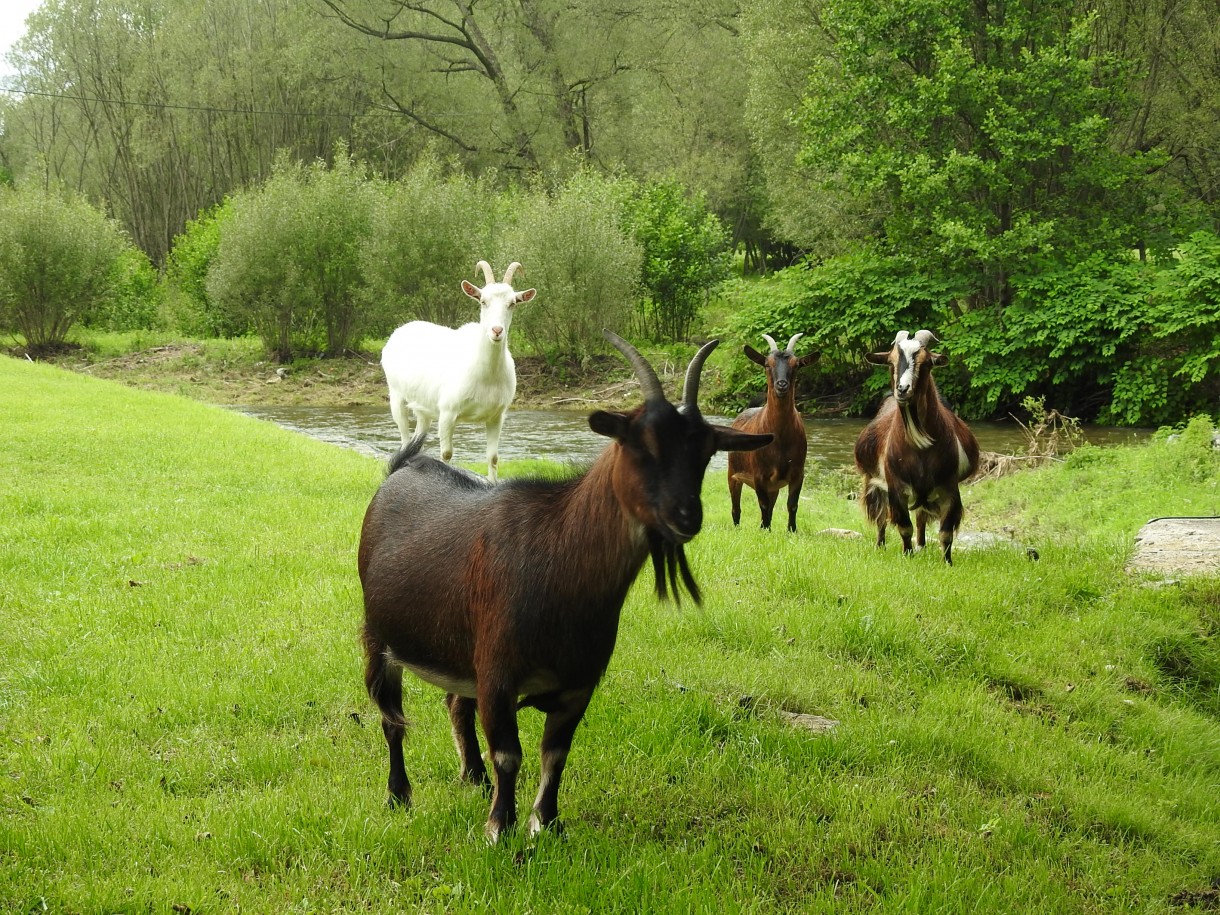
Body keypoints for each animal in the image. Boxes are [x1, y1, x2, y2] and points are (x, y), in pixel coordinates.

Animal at [356, 331, 771, 844]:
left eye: (708, 450)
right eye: (638, 443)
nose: (686, 516)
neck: (560, 565)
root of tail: (400, 468)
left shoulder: (578, 685)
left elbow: (555, 756)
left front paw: (548, 825)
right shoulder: (498, 673)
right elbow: (509, 755)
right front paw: (501, 828)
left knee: (455, 703)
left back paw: (472, 778)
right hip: (379, 636)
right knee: (391, 719)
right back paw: (399, 795)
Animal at [378, 259, 536, 483]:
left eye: (513, 303)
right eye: (482, 301)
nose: (496, 331)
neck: (485, 375)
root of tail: (399, 331)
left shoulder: (497, 416)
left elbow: (493, 457)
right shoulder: (447, 412)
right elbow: (446, 454)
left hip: (423, 408)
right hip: (396, 395)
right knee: (405, 438)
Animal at [727, 334, 824, 536]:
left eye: (796, 364)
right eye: (767, 364)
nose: (781, 385)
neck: (779, 439)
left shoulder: (797, 473)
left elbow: (792, 505)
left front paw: (791, 531)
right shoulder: (759, 475)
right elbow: (763, 505)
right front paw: (765, 530)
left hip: (773, 487)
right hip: (733, 474)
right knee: (736, 507)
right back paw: (738, 528)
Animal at [858, 326, 980, 563]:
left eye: (926, 363)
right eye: (891, 361)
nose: (903, 389)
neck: (919, 445)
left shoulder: (949, 487)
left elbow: (945, 532)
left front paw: (947, 562)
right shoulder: (896, 487)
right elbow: (904, 527)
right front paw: (907, 555)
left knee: (921, 518)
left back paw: (921, 546)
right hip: (874, 483)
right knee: (881, 518)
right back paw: (880, 545)